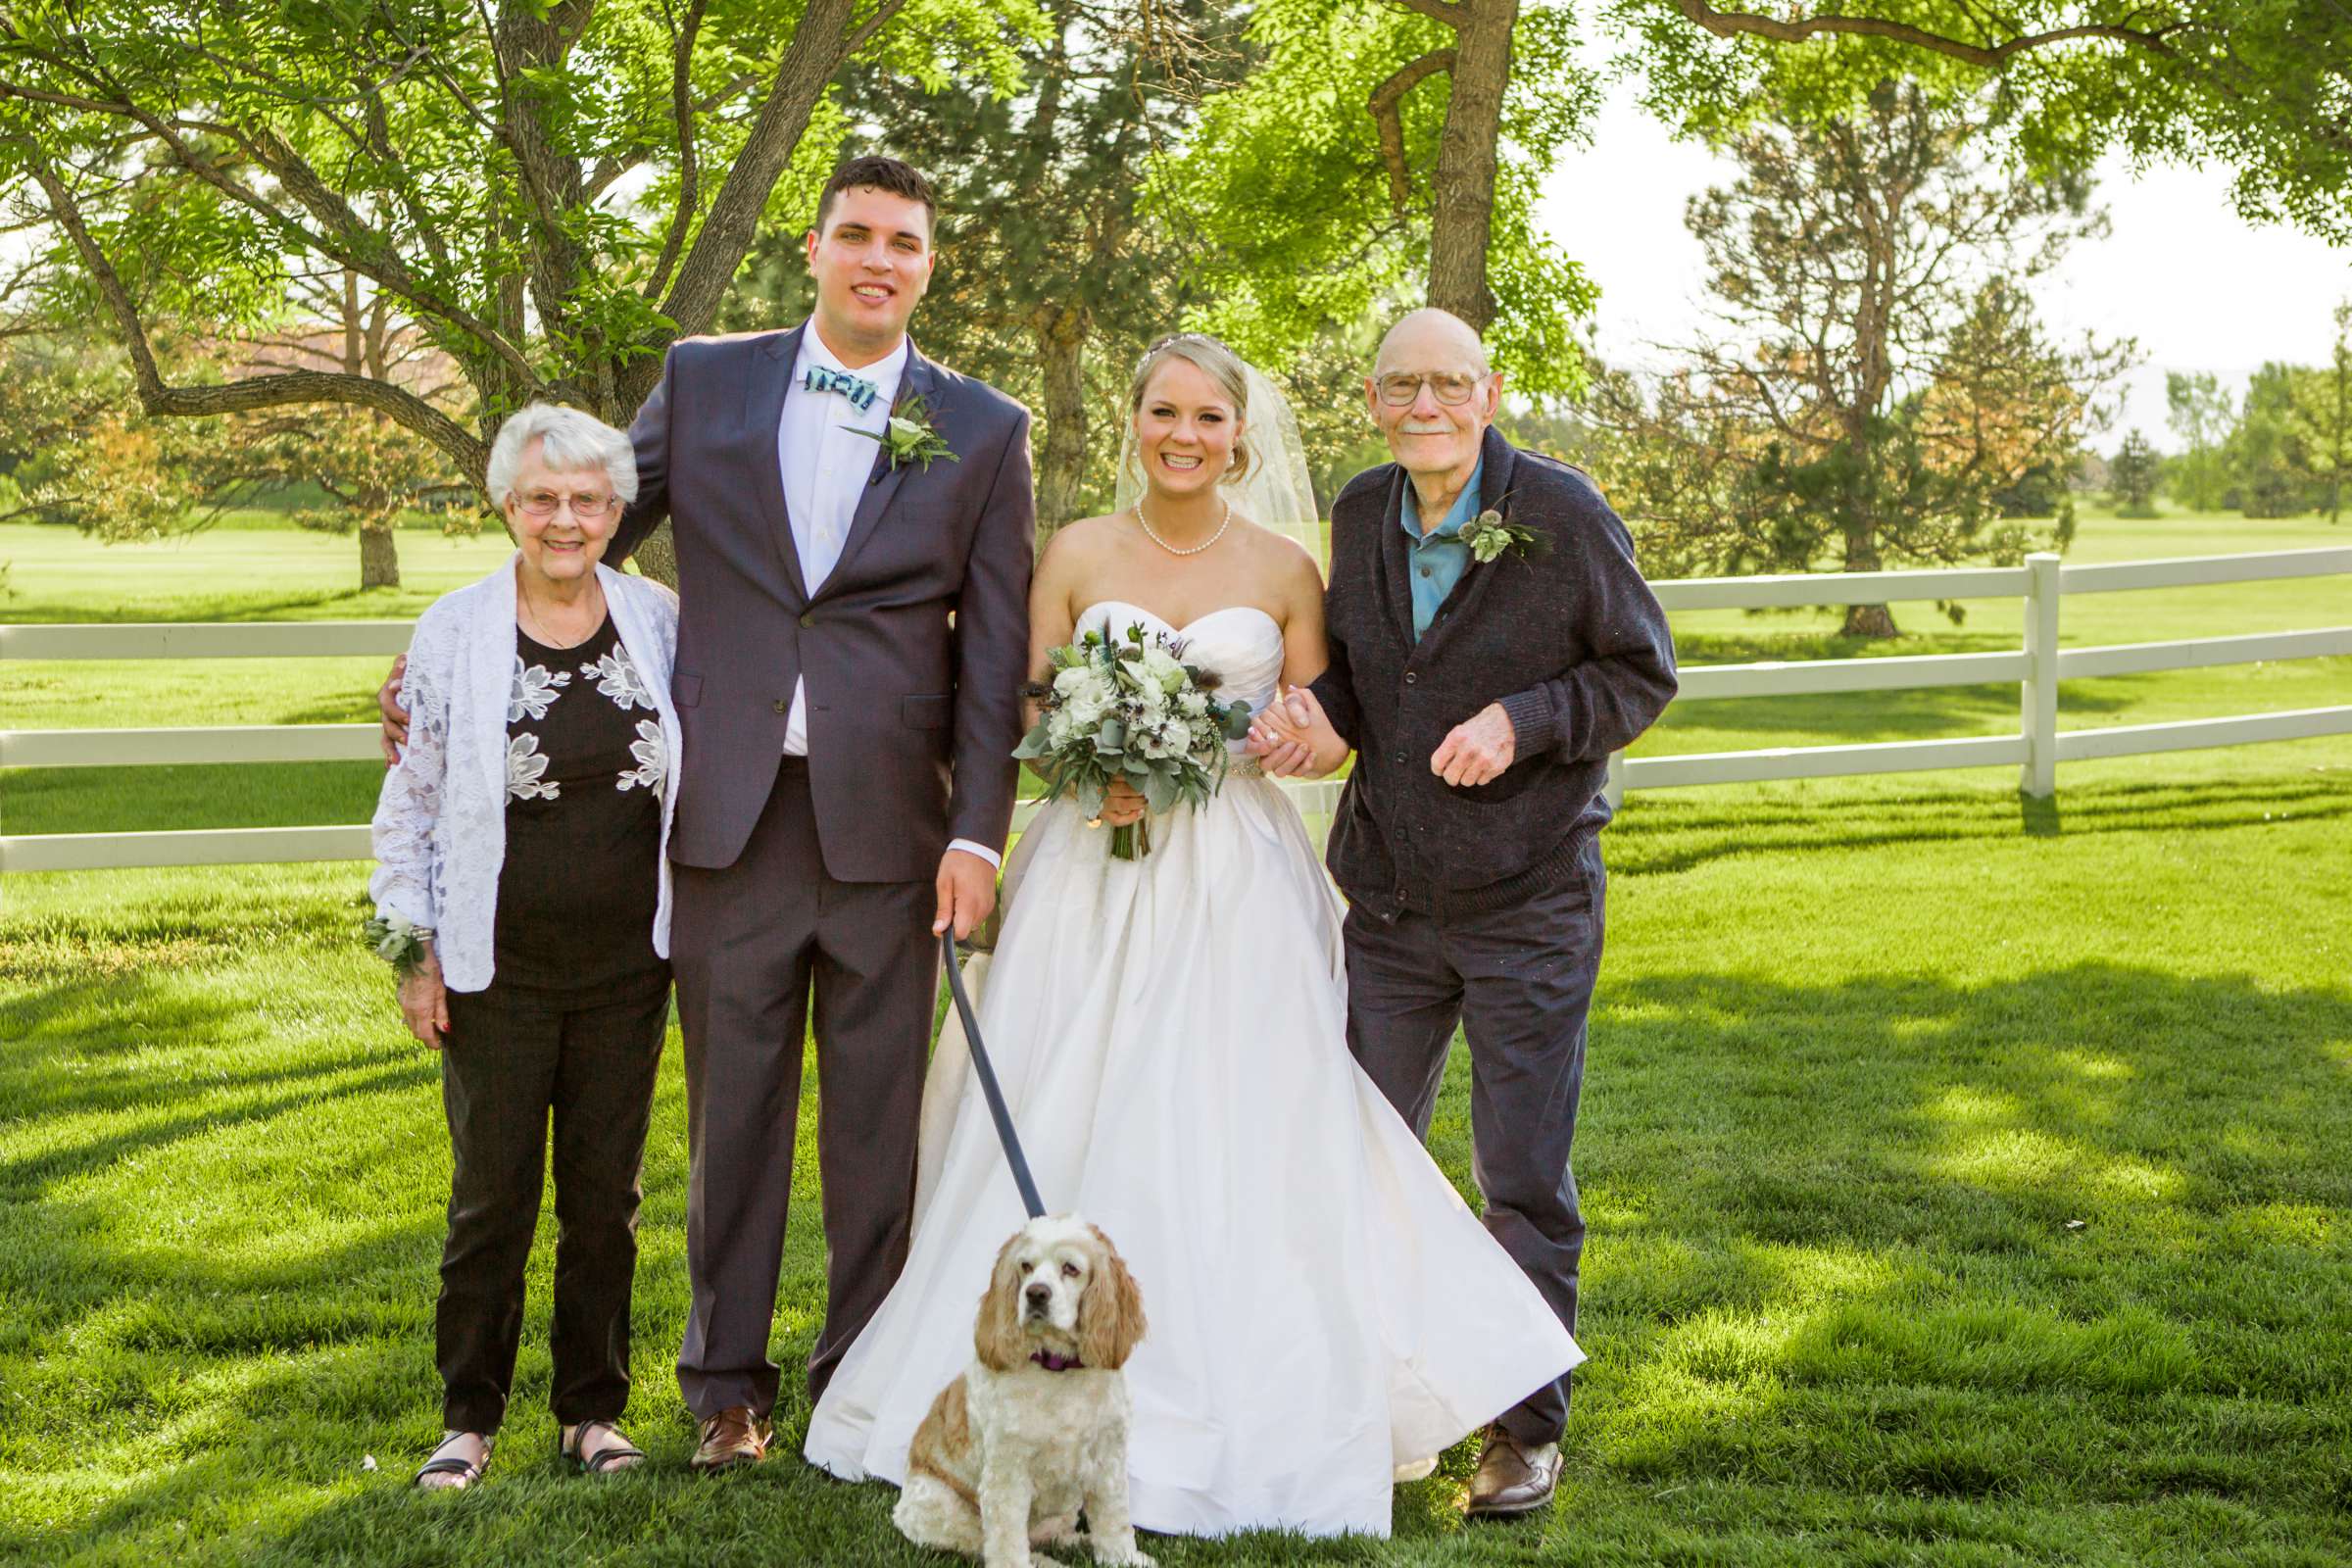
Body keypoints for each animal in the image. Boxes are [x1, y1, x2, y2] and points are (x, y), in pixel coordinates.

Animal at [894, 1212, 1152, 1568]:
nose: (1036, 1293)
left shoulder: (1108, 1459)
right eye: (1025, 1266)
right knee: (988, 1544)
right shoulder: (1007, 1472)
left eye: (1071, 1268)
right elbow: (1006, 1541)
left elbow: (1114, 1519)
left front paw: (1124, 1558)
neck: (1057, 1367)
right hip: (942, 1506)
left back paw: (1077, 1542)